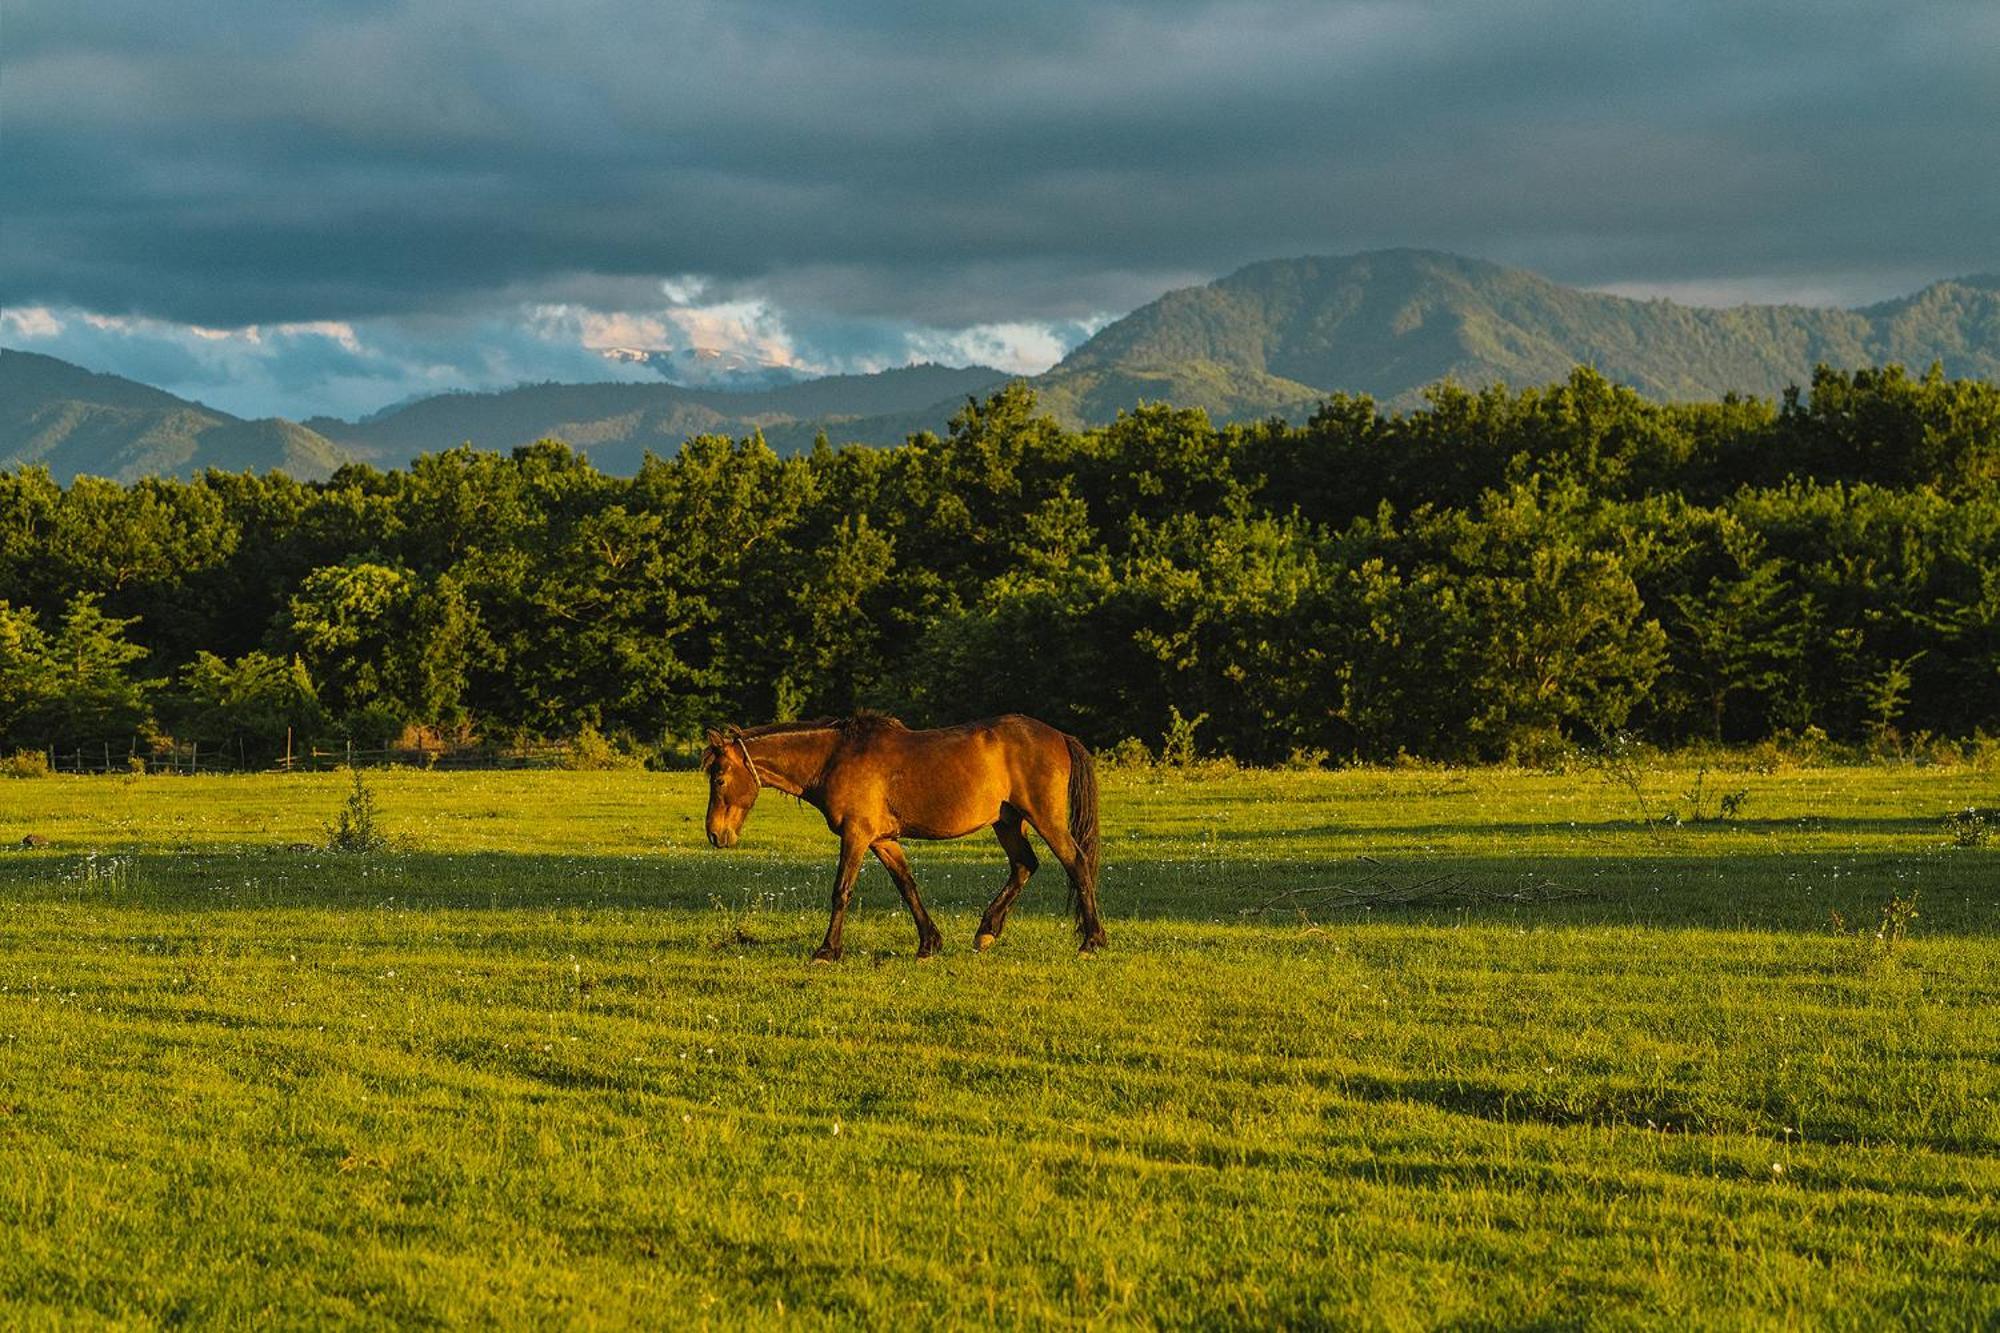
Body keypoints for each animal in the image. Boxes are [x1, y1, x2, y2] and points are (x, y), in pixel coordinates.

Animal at [700, 712, 1112, 960]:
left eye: (719, 778)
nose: (716, 835)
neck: (836, 758)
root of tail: (1059, 735)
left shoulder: (856, 835)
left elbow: (841, 891)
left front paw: (827, 951)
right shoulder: (882, 840)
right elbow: (907, 886)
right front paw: (929, 943)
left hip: (1044, 818)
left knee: (1076, 864)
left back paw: (1091, 941)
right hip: (1008, 821)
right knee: (1025, 866)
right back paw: (987, 932)